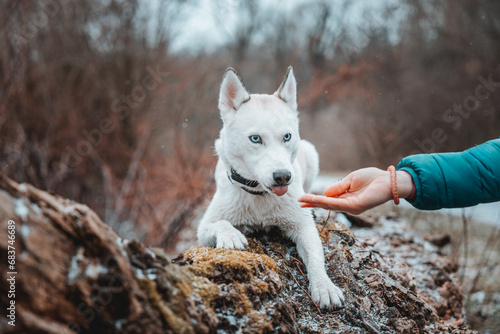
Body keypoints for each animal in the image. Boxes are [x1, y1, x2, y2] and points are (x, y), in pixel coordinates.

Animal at [197, 66, 346, 310]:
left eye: (287, 136)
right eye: (255, 138)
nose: (283, 177)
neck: (259, 195)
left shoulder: (303, 226)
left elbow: (316, 257)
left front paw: (325, 286)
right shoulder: (203, 228)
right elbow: (220, 223)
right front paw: (231, 235)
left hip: (311, 153)